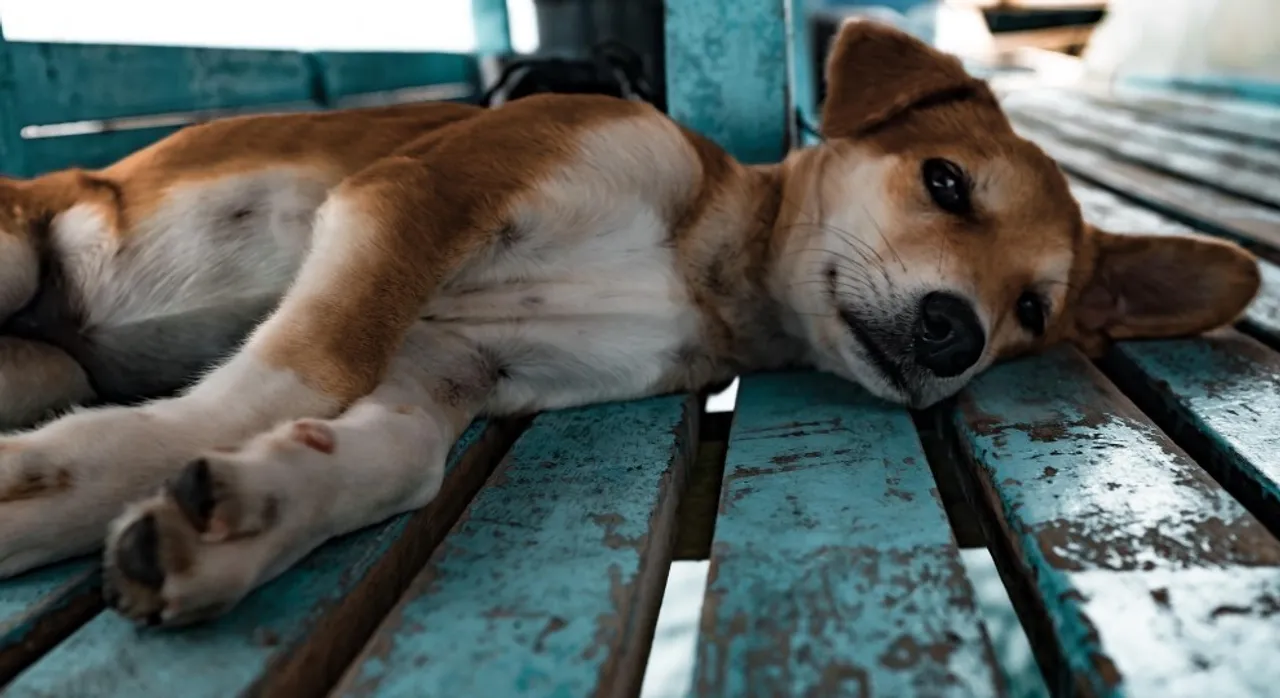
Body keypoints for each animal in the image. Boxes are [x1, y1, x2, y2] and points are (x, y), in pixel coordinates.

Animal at [0, 20, 1254, 624]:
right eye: (943, 182)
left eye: (1031, 309)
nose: (956, 332)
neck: (700, 265)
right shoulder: (423, 192)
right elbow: (305, 365)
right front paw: (85, 471)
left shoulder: (457, 361)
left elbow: (392, 457)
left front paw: (250, 512)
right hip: (17, 249)